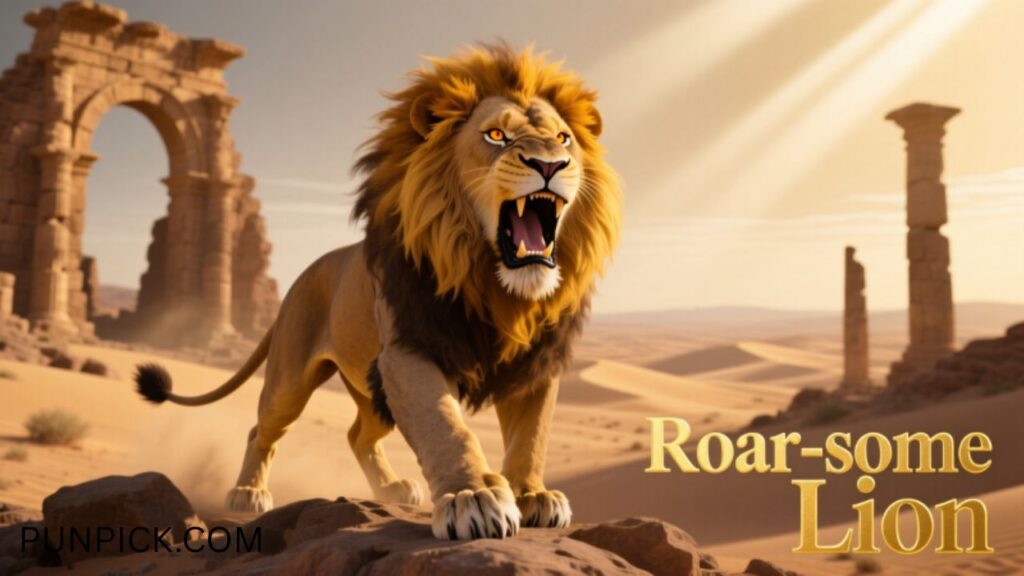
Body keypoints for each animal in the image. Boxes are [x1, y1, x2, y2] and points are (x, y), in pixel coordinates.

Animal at [134, 43, 621, 541]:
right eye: (497, 135)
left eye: (563, 139)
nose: (550, 165)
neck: (494, 286)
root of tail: (304, 275)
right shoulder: (409, 349)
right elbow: (445, 425)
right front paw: (473, 498)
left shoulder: (536, 361)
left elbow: (531, 437)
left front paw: (532, 495)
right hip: (292, 379)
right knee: (263, 429)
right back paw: (247, 493)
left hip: (370, 389)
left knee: (358, 435)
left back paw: (393, 489)